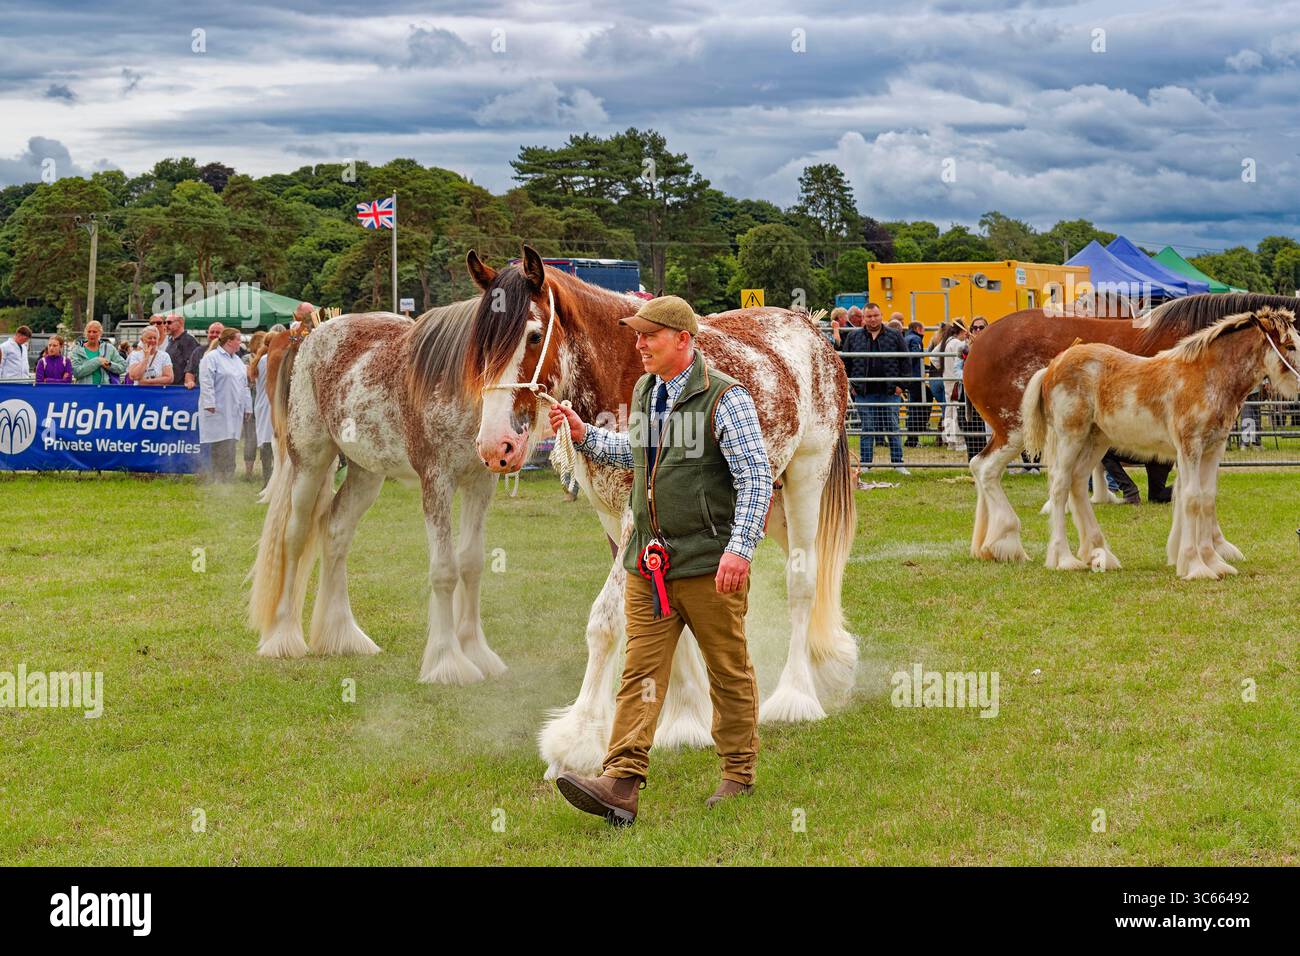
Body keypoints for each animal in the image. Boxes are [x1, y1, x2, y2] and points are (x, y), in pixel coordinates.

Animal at [247, 300, 507, 685]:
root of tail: (311, 336)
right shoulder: (437, 481)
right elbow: (445, 570)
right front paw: (447, 662)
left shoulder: (480, 483)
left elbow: (472, 564)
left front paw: (476, 653)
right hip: (309, 463)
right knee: (295, 536)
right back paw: (284, 636)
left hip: (366, 474)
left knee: (336, 532)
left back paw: (342, 635)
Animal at [457, 246, 857, 778]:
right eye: (479, 345)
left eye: (534, 335)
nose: (495, 448)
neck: (623, 369)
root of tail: (811, 329)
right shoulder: (618, 519)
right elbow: (665, 610)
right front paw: (684, 718)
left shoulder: (634, 521)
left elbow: (606, 621)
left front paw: (575, 742)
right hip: (763, 503)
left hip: (805, 479)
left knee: (804, 582)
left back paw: (796, 698)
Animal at [962, 293, 1300, 563]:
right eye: (1290, 345)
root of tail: (978, 343)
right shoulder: (1188, 443)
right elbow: (1187, 492)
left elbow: (1199, 492)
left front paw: (1210, 549)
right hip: (1019, 429)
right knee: (991, 469)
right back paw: (1014, 543)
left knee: (997, 469)